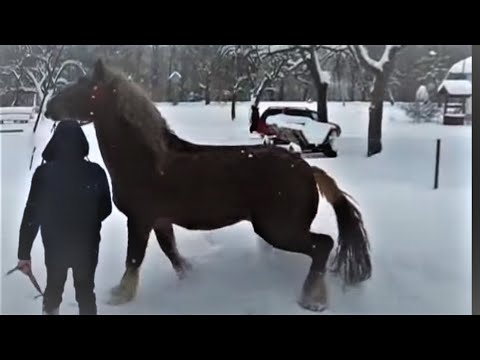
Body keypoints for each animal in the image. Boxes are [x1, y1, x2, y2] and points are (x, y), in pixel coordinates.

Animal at [44, 59, 372, 312]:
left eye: (85, 87)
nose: (48, 108)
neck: (149, 161)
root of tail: (308, 168)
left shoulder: (139, 220)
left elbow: (134, 259)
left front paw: (120, 296)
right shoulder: (160, 221)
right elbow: (172, 253)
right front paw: (189, 278)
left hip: (279, 229)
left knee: (323, 246)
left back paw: (312, 300)